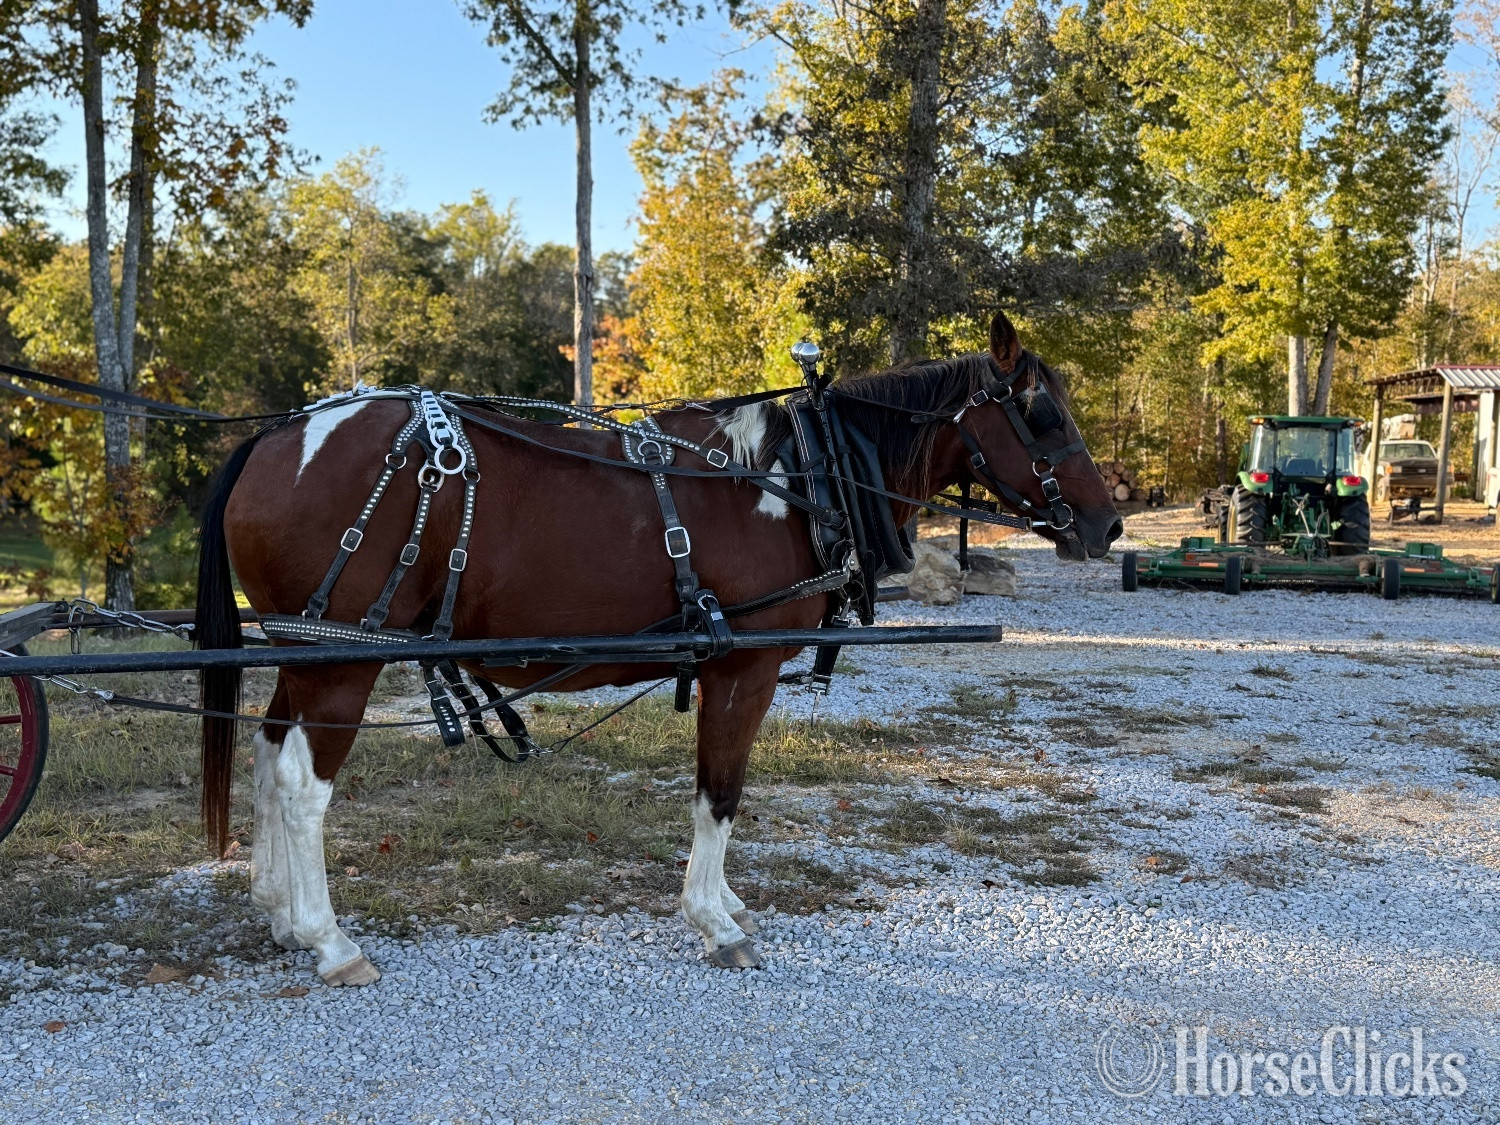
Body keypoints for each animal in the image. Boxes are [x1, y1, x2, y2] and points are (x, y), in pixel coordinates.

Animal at [195, 311, 1121, 986]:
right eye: (1043, 412)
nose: (1109, 523)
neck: (797, 478)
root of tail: (275, 438)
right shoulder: (744, 665)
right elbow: (720, 792)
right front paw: (714, 919)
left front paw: (728, 904)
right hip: (345, 659)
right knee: (300, 783)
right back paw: (327, 937)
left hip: (304, 652)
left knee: (268, 754)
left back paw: (278, 910)